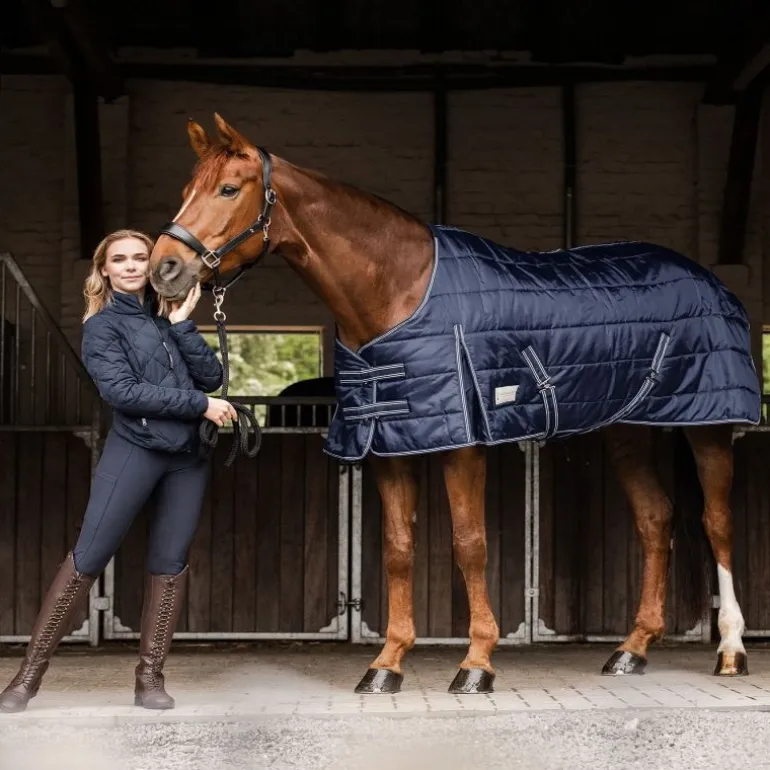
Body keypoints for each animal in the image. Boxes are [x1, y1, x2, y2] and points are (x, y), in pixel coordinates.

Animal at [148, 113, 759, 694]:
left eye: (229, 189)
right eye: (184, 189)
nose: (164, 269)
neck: (397, 290)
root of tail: (707, 279)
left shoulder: (462, 443)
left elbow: (470, 545)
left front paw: (477, 663)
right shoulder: (390, 443)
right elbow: (398, 549)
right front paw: (386, 664)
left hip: (709, 425)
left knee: (718, 522)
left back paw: (731, 650)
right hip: (627, 428)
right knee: (656, 519)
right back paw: (632, 649)